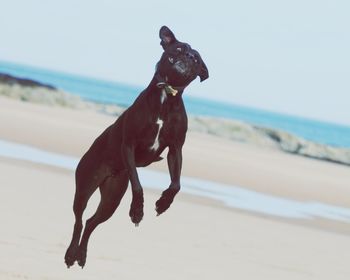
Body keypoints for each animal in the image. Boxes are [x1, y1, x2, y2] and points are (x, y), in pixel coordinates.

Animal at [64, 26, 208, 270]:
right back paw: (71, 254)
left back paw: (81, 255)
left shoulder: (175, 149)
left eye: (196, 59)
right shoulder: (129, 145)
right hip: (85, 186)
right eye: (180, 48)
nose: (188, 56)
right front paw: (137, 210)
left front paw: (163, 203)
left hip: (111, 198)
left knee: (91, 222)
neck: (165, 97)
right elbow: (138, 185)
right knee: (79, 220)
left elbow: (176, 184)